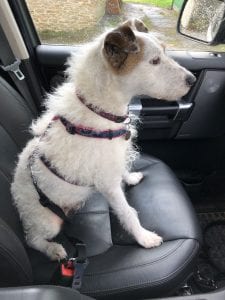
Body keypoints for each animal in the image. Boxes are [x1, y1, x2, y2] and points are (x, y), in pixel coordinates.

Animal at [11, 19, 196, 262]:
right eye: (154, 61)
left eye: (165, 52)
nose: (192, 79)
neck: (99, 110)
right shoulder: (108, 184)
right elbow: (128, 212)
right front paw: (144, 238)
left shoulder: (113, 162)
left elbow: (123, 171)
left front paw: (131, 177)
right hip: (48, 221)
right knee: (32, 240)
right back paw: (54, 249)